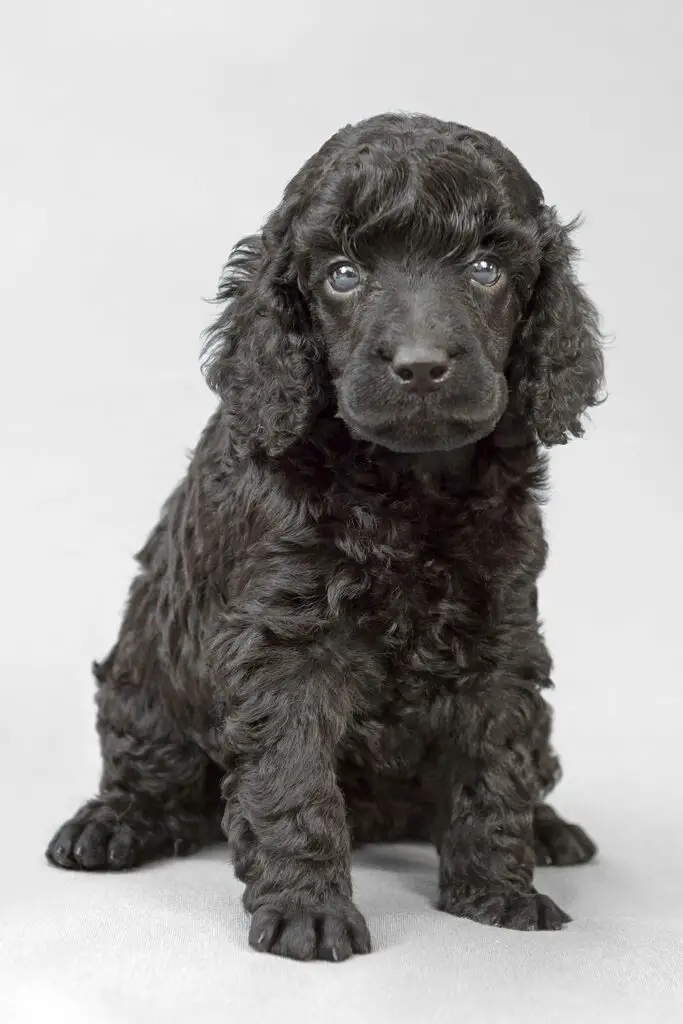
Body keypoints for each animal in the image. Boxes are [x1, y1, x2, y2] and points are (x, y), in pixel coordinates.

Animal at [46, 112, 602, 958]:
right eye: (342, 275)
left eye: (483, 269)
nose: (420, 366)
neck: (406, 484)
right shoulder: (287, 646)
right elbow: (294, 780)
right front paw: (310, 911)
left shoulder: (501, 638)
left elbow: (494, 768)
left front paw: (497, 893)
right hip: (146, 672)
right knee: (152, 772)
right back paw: (109, 825)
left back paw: (549, 831)